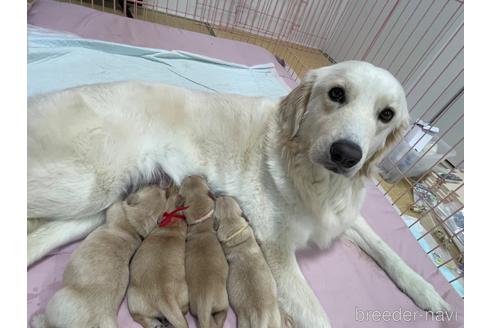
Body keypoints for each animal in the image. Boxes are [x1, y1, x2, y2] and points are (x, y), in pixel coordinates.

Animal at [31, 184, 169, 328]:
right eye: (162, 193)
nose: (163, 186)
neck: (134, 224)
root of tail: (104, 317)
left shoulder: (115, 210)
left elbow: (114, 205)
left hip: (58, 302)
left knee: (48, 322)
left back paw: (37, 320)